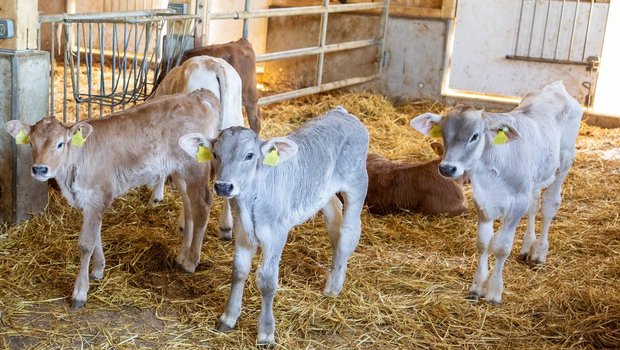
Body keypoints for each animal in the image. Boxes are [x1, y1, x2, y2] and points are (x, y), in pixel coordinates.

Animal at [4, 89, 220, 308]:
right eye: (31, 143)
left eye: (60, 144)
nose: (39, 169)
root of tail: (196, 96)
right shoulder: (90, 202)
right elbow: (96, 235)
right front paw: (98, 269)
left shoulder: (97, 197)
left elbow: (86, 243)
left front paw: (80, 292)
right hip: (179, 172)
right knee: (190, 205)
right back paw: (182, 256)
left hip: (195, 168)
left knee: (203, 205)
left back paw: (191, 262)